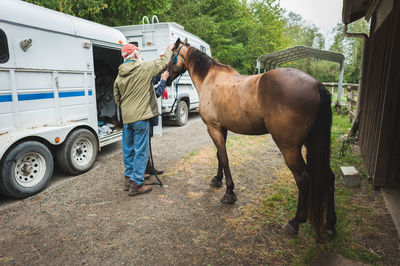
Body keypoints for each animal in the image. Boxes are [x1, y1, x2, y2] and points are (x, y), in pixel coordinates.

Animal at [167, 37, 336, 239]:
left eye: (170, 54)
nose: (165, 78)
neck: (210, 78)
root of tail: (317, 85)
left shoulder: (213, 128)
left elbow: (224, 158)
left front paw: (229, 193)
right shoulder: (221, 128)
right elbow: (219, 156)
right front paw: (217, 180)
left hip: (289, 148)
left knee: (303, 178)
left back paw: (295, 222)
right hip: (313, 144)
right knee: (329, 176)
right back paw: (330, 224)